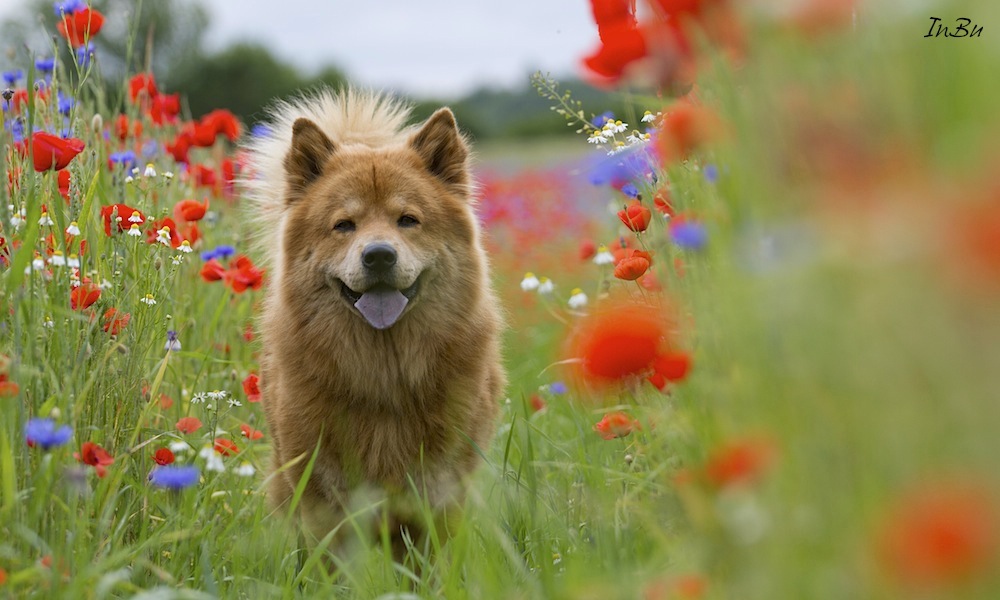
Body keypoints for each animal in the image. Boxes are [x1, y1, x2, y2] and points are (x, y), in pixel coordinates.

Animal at [243, 88, 508, 552]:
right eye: (344, 225)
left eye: (408, 220)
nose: (379, 255)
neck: (385, 377)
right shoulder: (321, 496)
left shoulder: (440, 491)